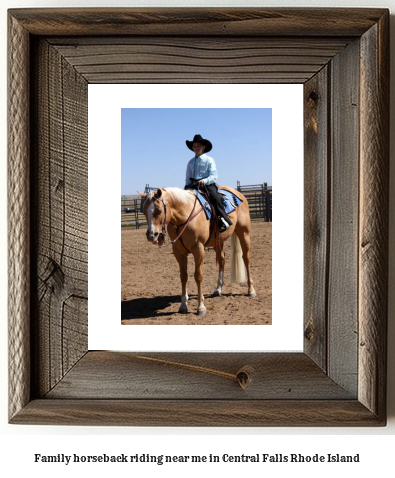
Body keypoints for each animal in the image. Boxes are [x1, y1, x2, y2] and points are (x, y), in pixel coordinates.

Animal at [138, 187, 256, 318]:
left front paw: (201, 307)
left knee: (246, 259)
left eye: (159, 211)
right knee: (222, 261)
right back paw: (218, 289)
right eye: (144, 211)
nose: (151, 235)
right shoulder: (179, 251)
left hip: (243, 233)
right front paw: (183, 305)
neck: (185, 218)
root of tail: (238, 193)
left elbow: (198, 276)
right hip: (219, 242)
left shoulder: (198, 249)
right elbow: (183, 276)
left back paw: (251, 290)